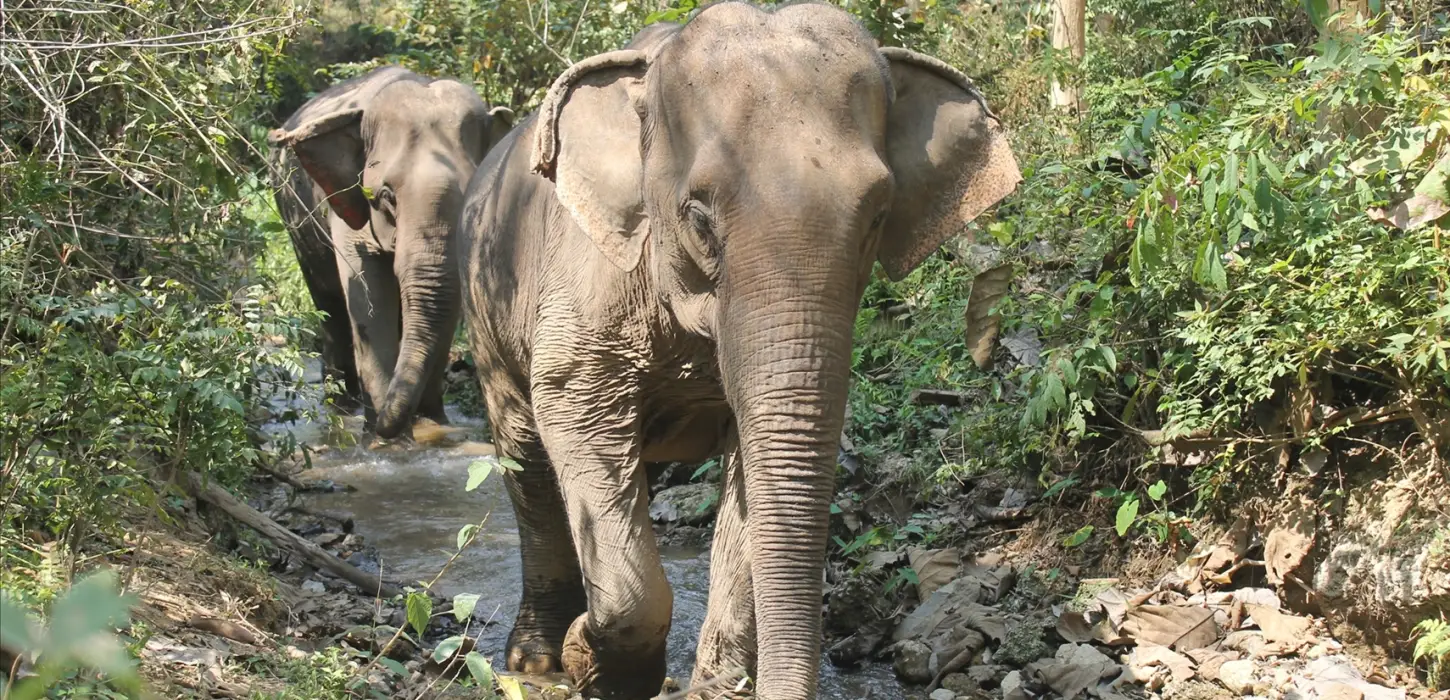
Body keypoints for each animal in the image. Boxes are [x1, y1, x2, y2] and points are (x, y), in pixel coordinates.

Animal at [270, 65, 513, 438]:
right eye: (387, 196)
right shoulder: (348, 203)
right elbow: (368, 295)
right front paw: (385, 438)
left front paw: (430, 425)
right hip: (293, 218)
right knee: (329, 303)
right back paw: (341, 405)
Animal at [457, 4, 1020, 699]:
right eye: (699, 218)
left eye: (878, 217)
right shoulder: (584, 288)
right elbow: (575, 413)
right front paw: (591, 659)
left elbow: (754, 465)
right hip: (486, 307)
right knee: (525, 456)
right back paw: (534, 658)